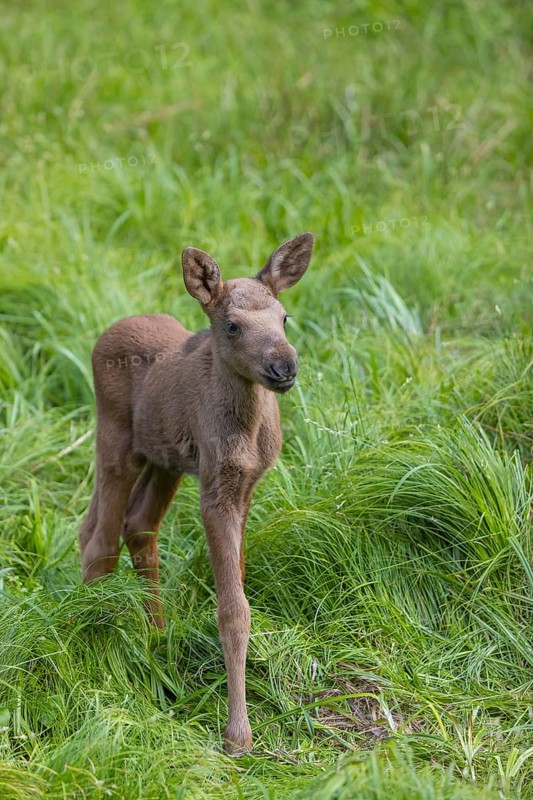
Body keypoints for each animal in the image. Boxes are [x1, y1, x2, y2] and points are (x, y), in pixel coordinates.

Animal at [79, 232, 314, 754]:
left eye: (284, 317)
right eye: (232, 325)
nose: (283, 366)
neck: (247, 427)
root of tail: (105, 333)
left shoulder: (246, 485)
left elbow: (241, 588)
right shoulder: (215, 490)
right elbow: (232, 610)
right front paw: (238, 735)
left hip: (163, 460)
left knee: (132, 526)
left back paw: (156, 635)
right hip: (115, 441)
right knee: (100, 540)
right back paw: (89, 641)